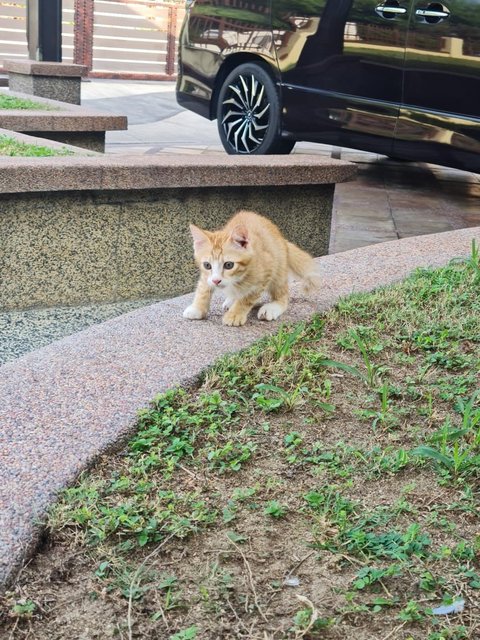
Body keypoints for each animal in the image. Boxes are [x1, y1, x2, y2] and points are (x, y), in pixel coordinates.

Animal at [182, 211, 320, 328]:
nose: (216, 281)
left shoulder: (266, 271)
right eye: (207, 265)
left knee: (283, 295)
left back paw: (273, 307)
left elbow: (247, 297)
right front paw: (197, 308)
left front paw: (235, 315)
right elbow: (203, 288)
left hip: (279, 268)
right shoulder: (206, 276)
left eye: (228, 265)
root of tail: (282, 239)